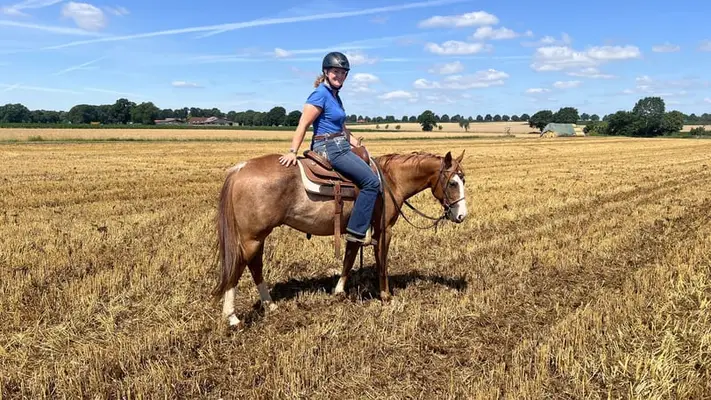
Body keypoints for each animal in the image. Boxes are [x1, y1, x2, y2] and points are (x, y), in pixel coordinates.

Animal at [213, 146, 468, 329]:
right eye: (452, 183)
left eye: (464, 181)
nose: (461, 215)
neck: (390, 180)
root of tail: (241, 169)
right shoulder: (384, 230)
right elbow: (382, 263)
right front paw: (386, 296)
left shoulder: (356, 229)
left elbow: (349, 257)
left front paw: (339, 290)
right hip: (252, 238)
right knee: (239, 267)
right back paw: (232, 317)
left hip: (257, 237)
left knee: (255, 266)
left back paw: (270, 305)